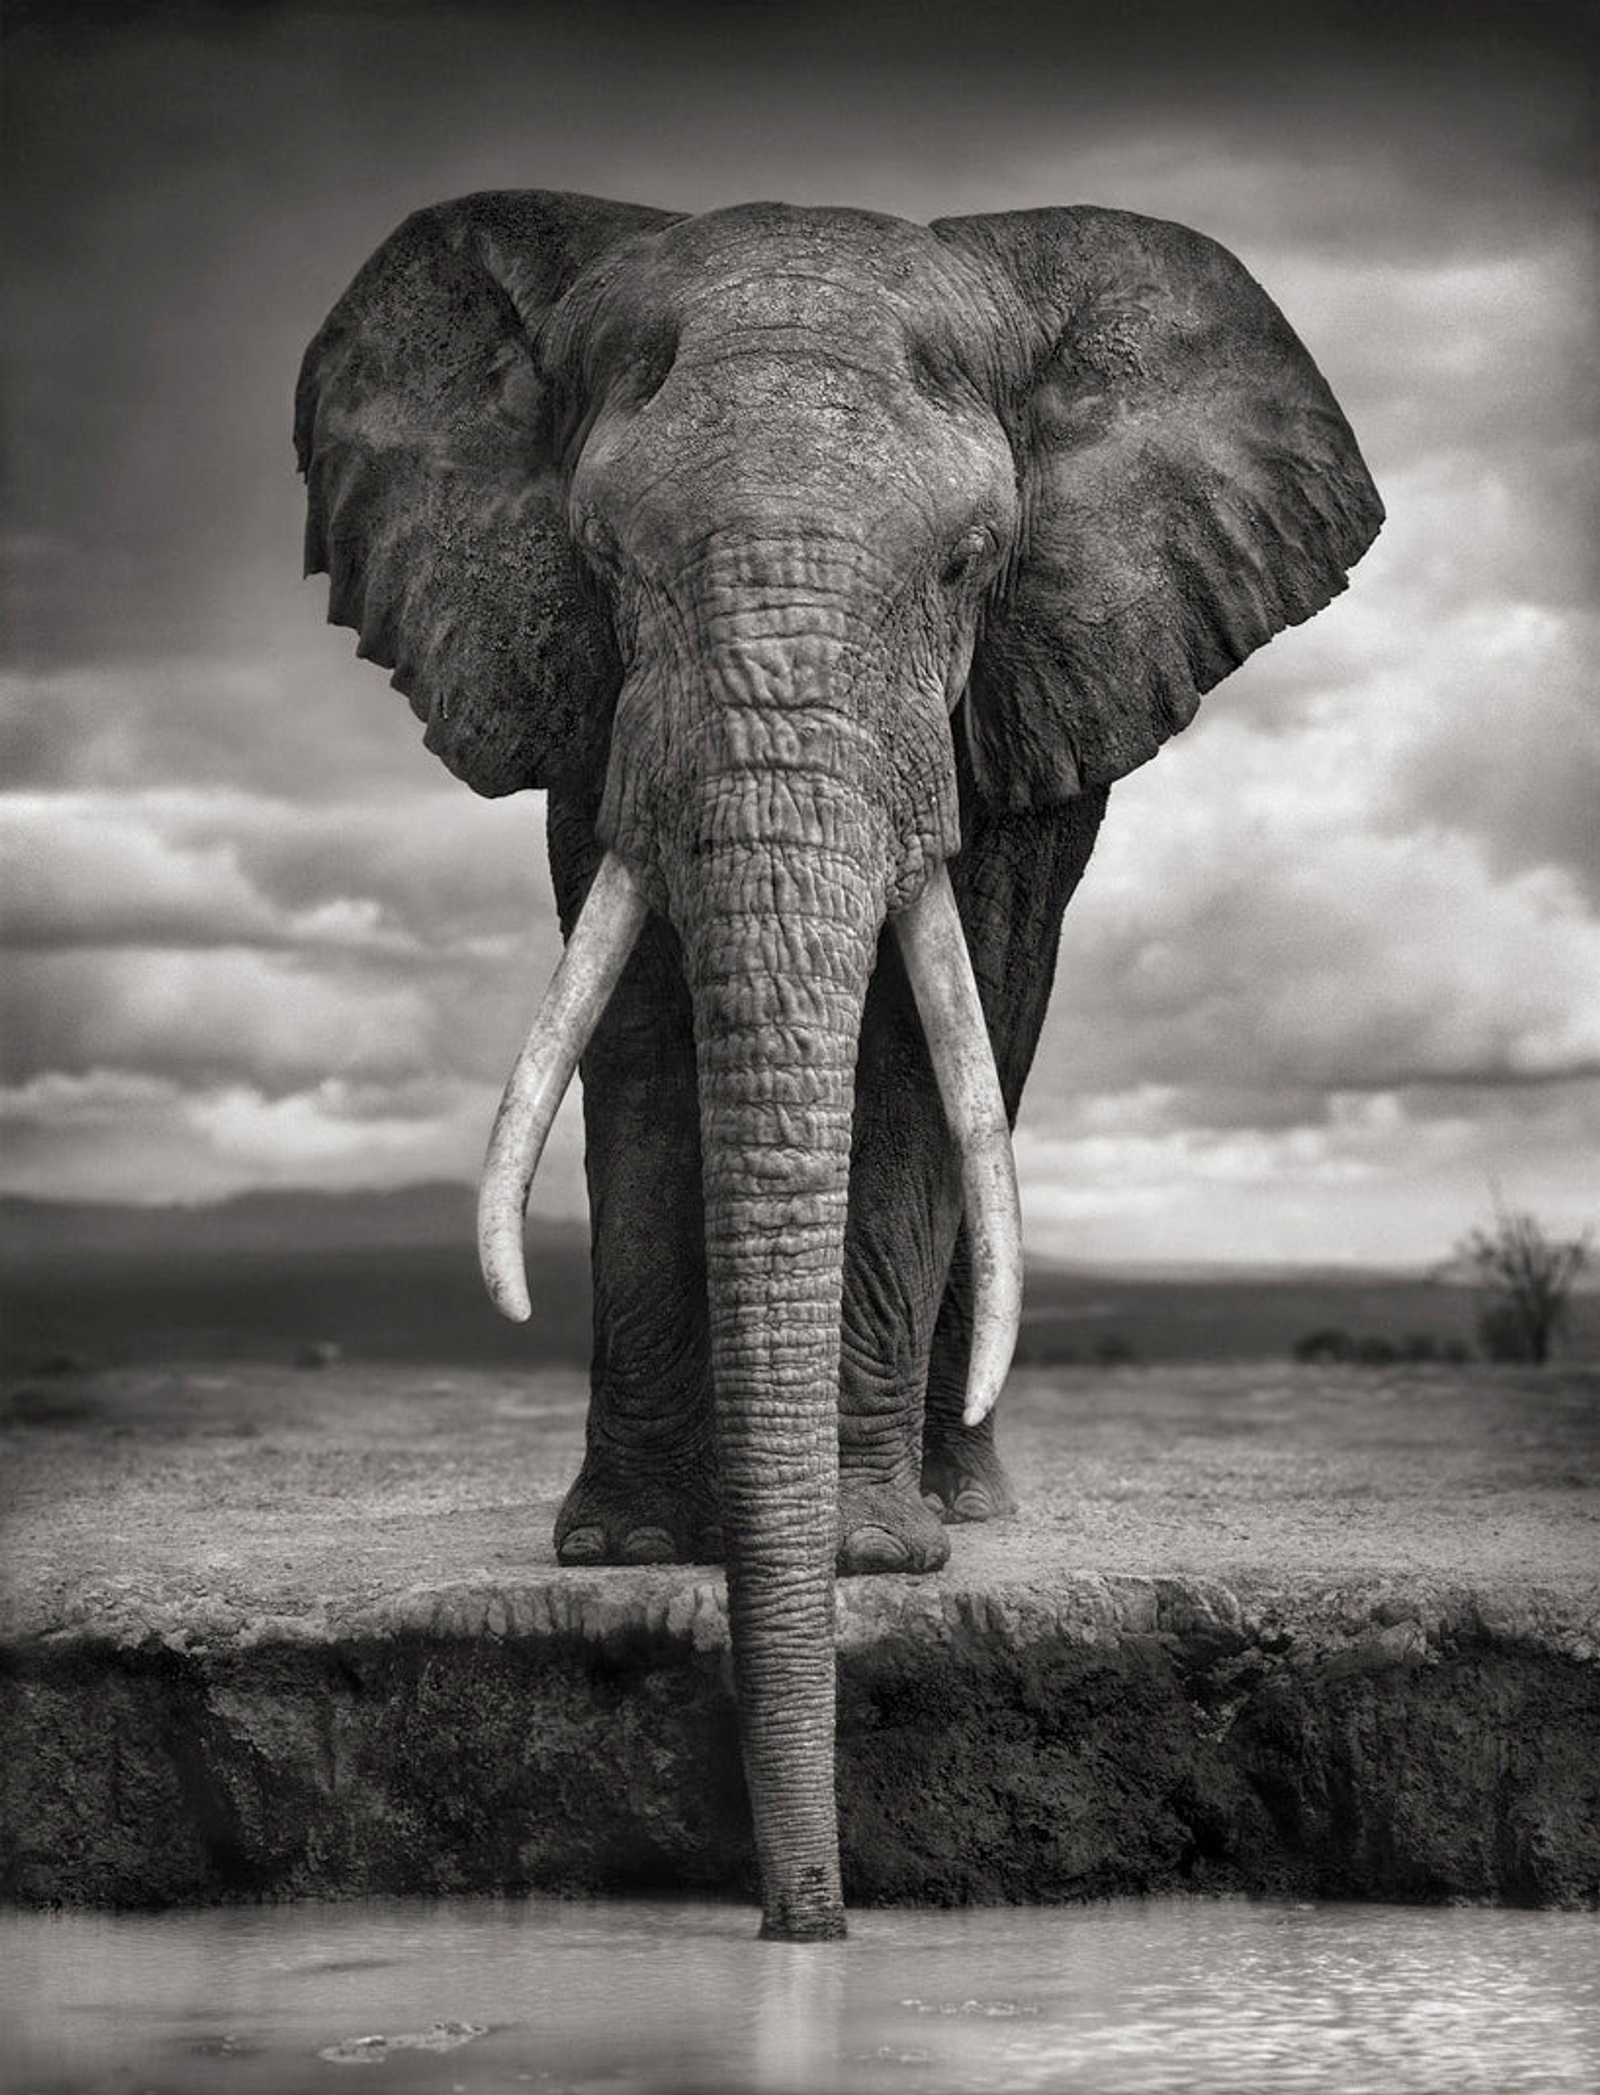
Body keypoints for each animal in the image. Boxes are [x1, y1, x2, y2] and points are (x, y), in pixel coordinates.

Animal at [295, 190, 1381, 1939]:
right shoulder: (592, 705)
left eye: (970, 562)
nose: (808, 1918)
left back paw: (964, 1505)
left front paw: (871, 1558)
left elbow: (925, 1052)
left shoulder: (1001, 696)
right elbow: (641, 1032)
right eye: (602, 558)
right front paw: (630, 1547)